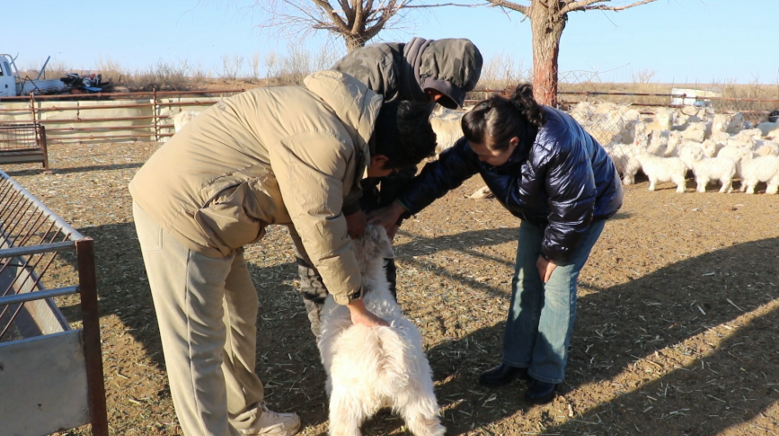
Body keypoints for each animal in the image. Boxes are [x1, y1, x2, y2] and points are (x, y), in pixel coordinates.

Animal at [320, 225, 448, 436]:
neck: (366, 281)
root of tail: (385, 375)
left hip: (346, 401)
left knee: (343, 428)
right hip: (420, 394)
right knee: (425, 423)